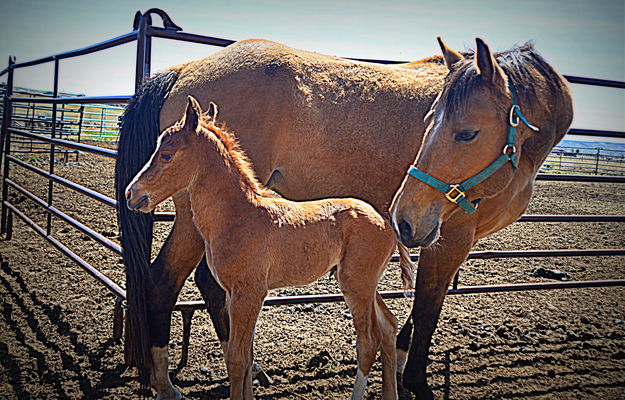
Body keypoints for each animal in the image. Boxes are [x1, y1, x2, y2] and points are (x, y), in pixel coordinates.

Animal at [125, 97, 404, 400]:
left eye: (166, 155)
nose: (132, 194)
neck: (239, 216)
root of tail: (385, 221)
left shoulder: (249, 293)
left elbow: (237, 359)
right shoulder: (234, 295)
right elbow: (244, 357)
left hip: (355, 284)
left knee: (368, 341)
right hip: (366, 283)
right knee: (389, 327)